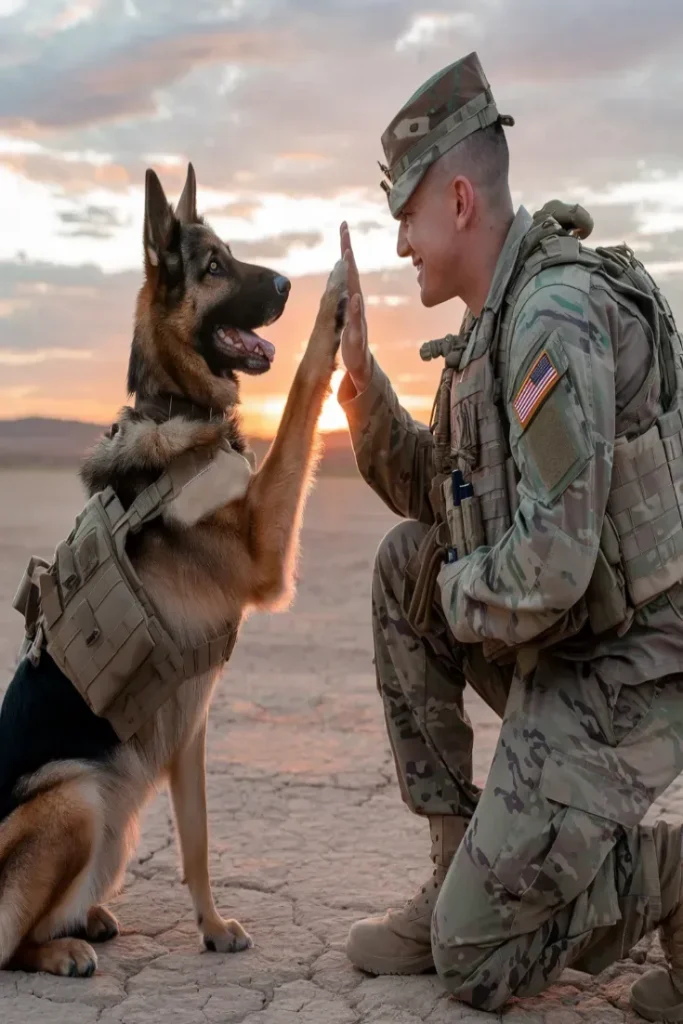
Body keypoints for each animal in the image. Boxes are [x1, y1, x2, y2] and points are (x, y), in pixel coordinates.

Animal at [0, 161, 350, 974]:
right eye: (214, 266)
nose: (286, 283)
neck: (178, 410)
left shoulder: (190, 730)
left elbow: (197, 842)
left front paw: (212, 926)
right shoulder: (261, 545)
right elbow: (299, 399)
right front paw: (335, 300)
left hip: (117, 813)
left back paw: (89, 919)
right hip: (77, 796)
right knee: (6, 945)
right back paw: (62, 953)